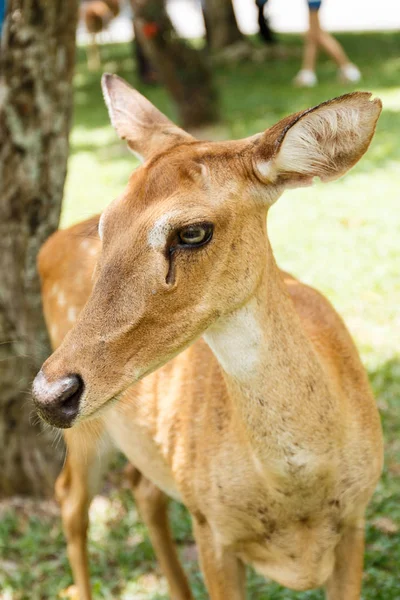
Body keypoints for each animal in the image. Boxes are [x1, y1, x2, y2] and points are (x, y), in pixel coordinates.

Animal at [32, 76, 384, 600]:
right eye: (105, 225)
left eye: (193, 232)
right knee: (70, 501)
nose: (50, 394)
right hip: (93, 436)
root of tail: (46, 249)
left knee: (140, 488)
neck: (298, 495)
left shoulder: (357, 519)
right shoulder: (210, 527)